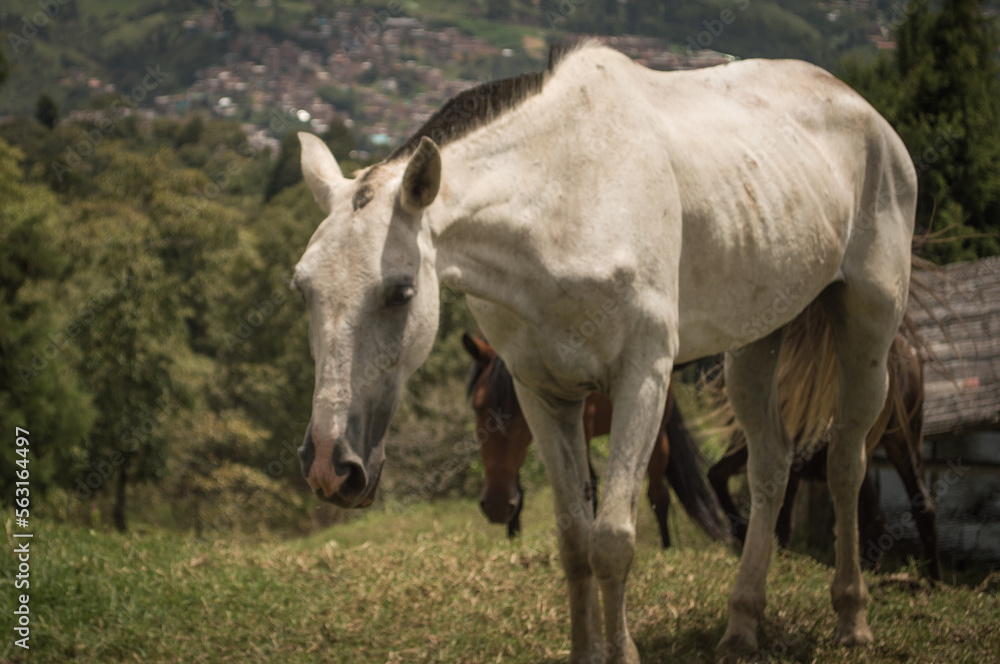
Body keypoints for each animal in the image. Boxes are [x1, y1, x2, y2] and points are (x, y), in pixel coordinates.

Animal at [460, 334, 728, 548]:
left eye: (524, 410)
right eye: (477, 406)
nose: (495, 505)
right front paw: (514, 541)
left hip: (655, 431)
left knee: (657, 494)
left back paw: (666, 548)